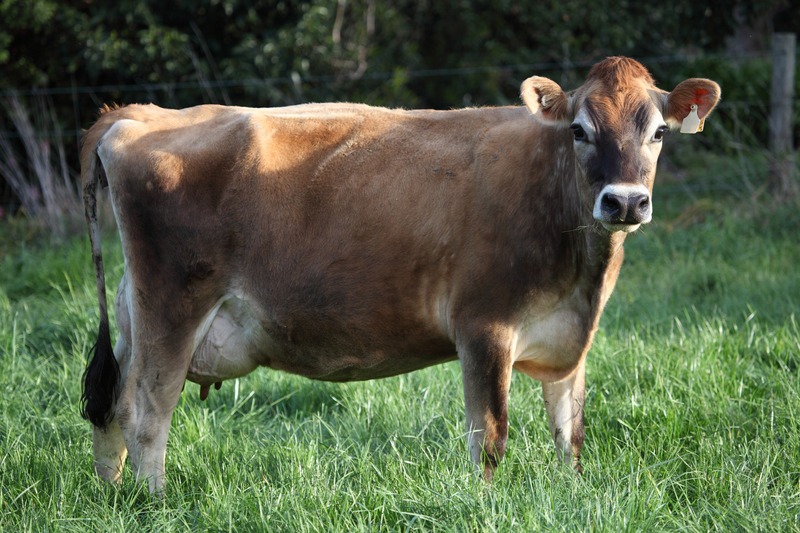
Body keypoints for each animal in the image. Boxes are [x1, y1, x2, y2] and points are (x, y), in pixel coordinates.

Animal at [80, 57, 720, 492]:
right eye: (579, 130)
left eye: (659, 132)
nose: (625, 201)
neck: (579, 274)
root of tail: (137, 115)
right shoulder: (484, 327)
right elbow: (489, 437)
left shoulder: (571, 340)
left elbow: (570, 434)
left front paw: (571, 494)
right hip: (173, 302)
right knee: (146, 411)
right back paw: (156, 502)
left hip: (135, 308)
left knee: (111, 405)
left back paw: (113, 498)